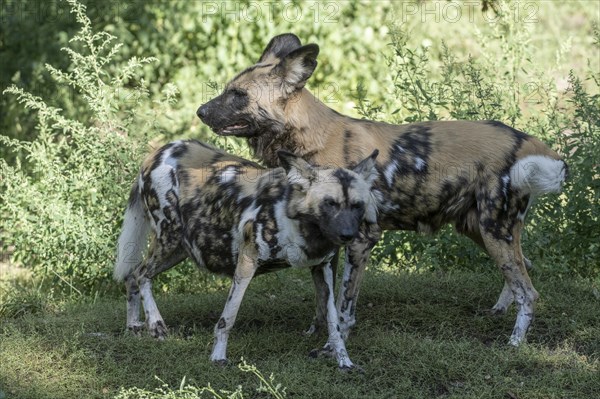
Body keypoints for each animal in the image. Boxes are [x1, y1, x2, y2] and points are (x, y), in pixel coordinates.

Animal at [114, 139, 378, 370]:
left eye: (357, 205)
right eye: (330, 203)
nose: (348, 234)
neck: (301, 225)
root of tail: (158, 152)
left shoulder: (322, 267)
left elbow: (335, 323)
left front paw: (344, 362)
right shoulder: (247, 261)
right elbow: (227, 318)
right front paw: (218, 358)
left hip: (179, 248)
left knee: (132, 276)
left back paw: (133, 327)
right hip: (170, 237)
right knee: (141, 274)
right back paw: (155, 325)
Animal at [196, 33, 568, 346]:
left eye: (238, 95)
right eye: (228, 89)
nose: (200, 111)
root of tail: (522, 139)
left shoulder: (361, 239)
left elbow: (344, 304)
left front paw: (335, 344)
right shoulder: (326, 241)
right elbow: (323, 299)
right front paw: (318, 332)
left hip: (494, 230)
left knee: (529, 292)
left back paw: (514, 345)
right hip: (481, 229)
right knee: (523, 269)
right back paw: (499, 312)